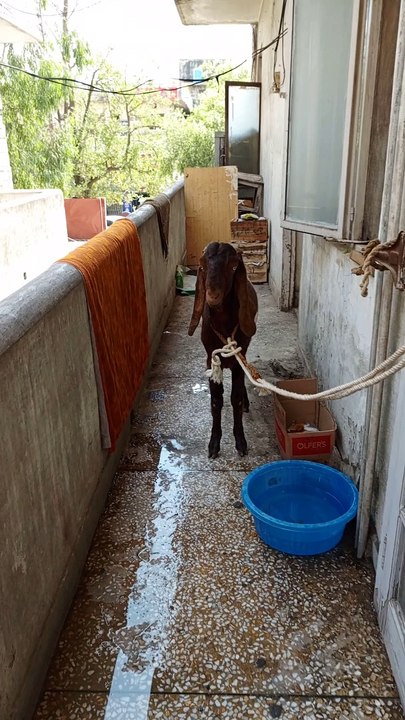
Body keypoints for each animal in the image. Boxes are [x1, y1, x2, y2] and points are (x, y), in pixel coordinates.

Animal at [188, 242, 258, 458]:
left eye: (234, 266)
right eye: (202, 266)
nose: (212, 296)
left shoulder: (238, 360)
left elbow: (235, 398)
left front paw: (240, 442)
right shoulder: (210, 359)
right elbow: (216, 401)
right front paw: (214, 443)